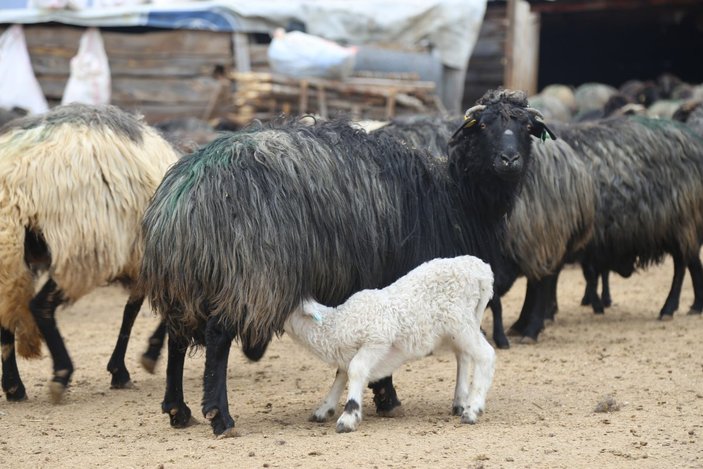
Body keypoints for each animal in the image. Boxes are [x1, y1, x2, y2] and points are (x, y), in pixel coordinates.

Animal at [284, 254, 498, 434]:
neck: (338, 323)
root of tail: (481, 270)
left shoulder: (377, 339)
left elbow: (355, 369)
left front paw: (348, 417)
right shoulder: (350, 351)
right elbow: (341, 374)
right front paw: (324, 409)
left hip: (460, 322)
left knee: (485, 355)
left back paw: (472, 410)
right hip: (461, 326)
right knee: (464, 355)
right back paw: (460, 402)